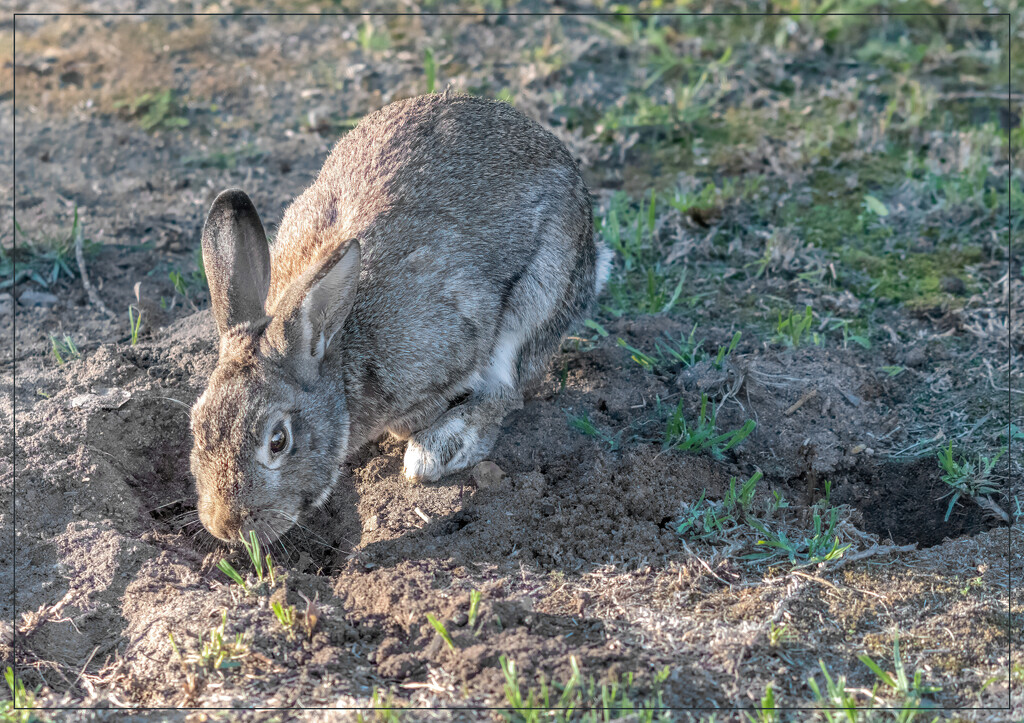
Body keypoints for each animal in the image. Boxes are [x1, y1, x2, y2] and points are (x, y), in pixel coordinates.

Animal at [188, 90, 610, 540]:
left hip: (539, 291)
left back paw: (436, 450)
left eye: (278, 441)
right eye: (197, 426)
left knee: (509, 390)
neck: (335, 350)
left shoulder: (457, 337)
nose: (224, 525)